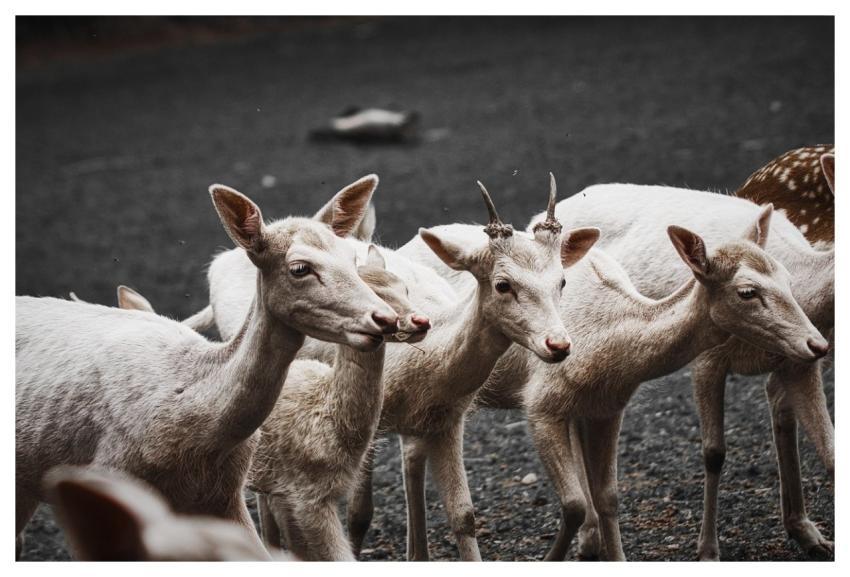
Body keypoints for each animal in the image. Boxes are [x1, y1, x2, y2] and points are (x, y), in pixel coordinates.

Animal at [185, 174, 597, 560]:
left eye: (562, 281)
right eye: (502, 284)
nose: (558, 345)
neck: (427, 374)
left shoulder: (449, 421)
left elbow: (464, 515)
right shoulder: (372, 421)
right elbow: (359, 512)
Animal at [529, 183, 834, 560]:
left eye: (788, 282)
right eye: (747, 291)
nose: (820, 344)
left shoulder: (798, 364)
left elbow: (831, 452)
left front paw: (815, 537)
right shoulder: (708, 360)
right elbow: (714, 452)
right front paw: (708, 551)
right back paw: (588, 541)